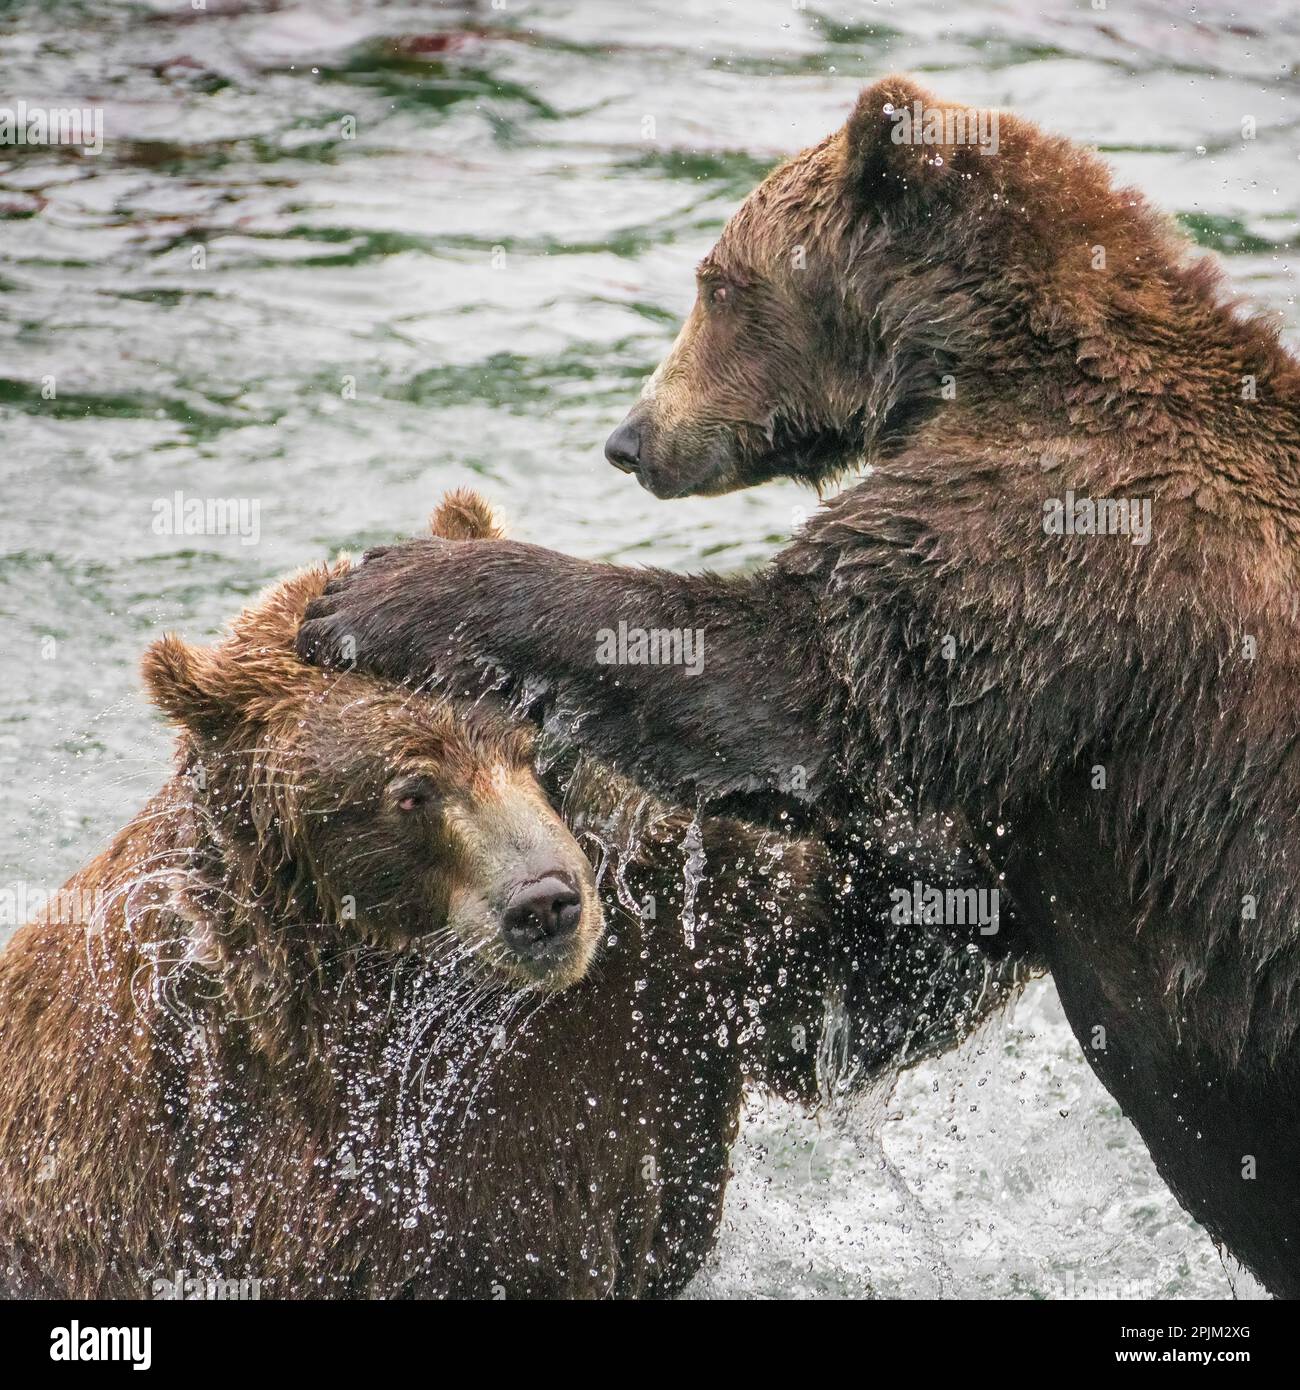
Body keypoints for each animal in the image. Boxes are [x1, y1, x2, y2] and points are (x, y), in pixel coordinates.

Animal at [0, 490, 1017, 1299]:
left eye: (531, 736)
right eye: (412, 792)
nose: (547, 901)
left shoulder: (672, 960)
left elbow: (854, 982)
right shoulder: (212, 1126)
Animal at [296, 79, 1300, 1296]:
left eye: (717, 282)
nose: (630, 438)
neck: (986, 364)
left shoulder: (1048, 556)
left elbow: (800, 680)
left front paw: (382, 591)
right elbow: (897, 931)